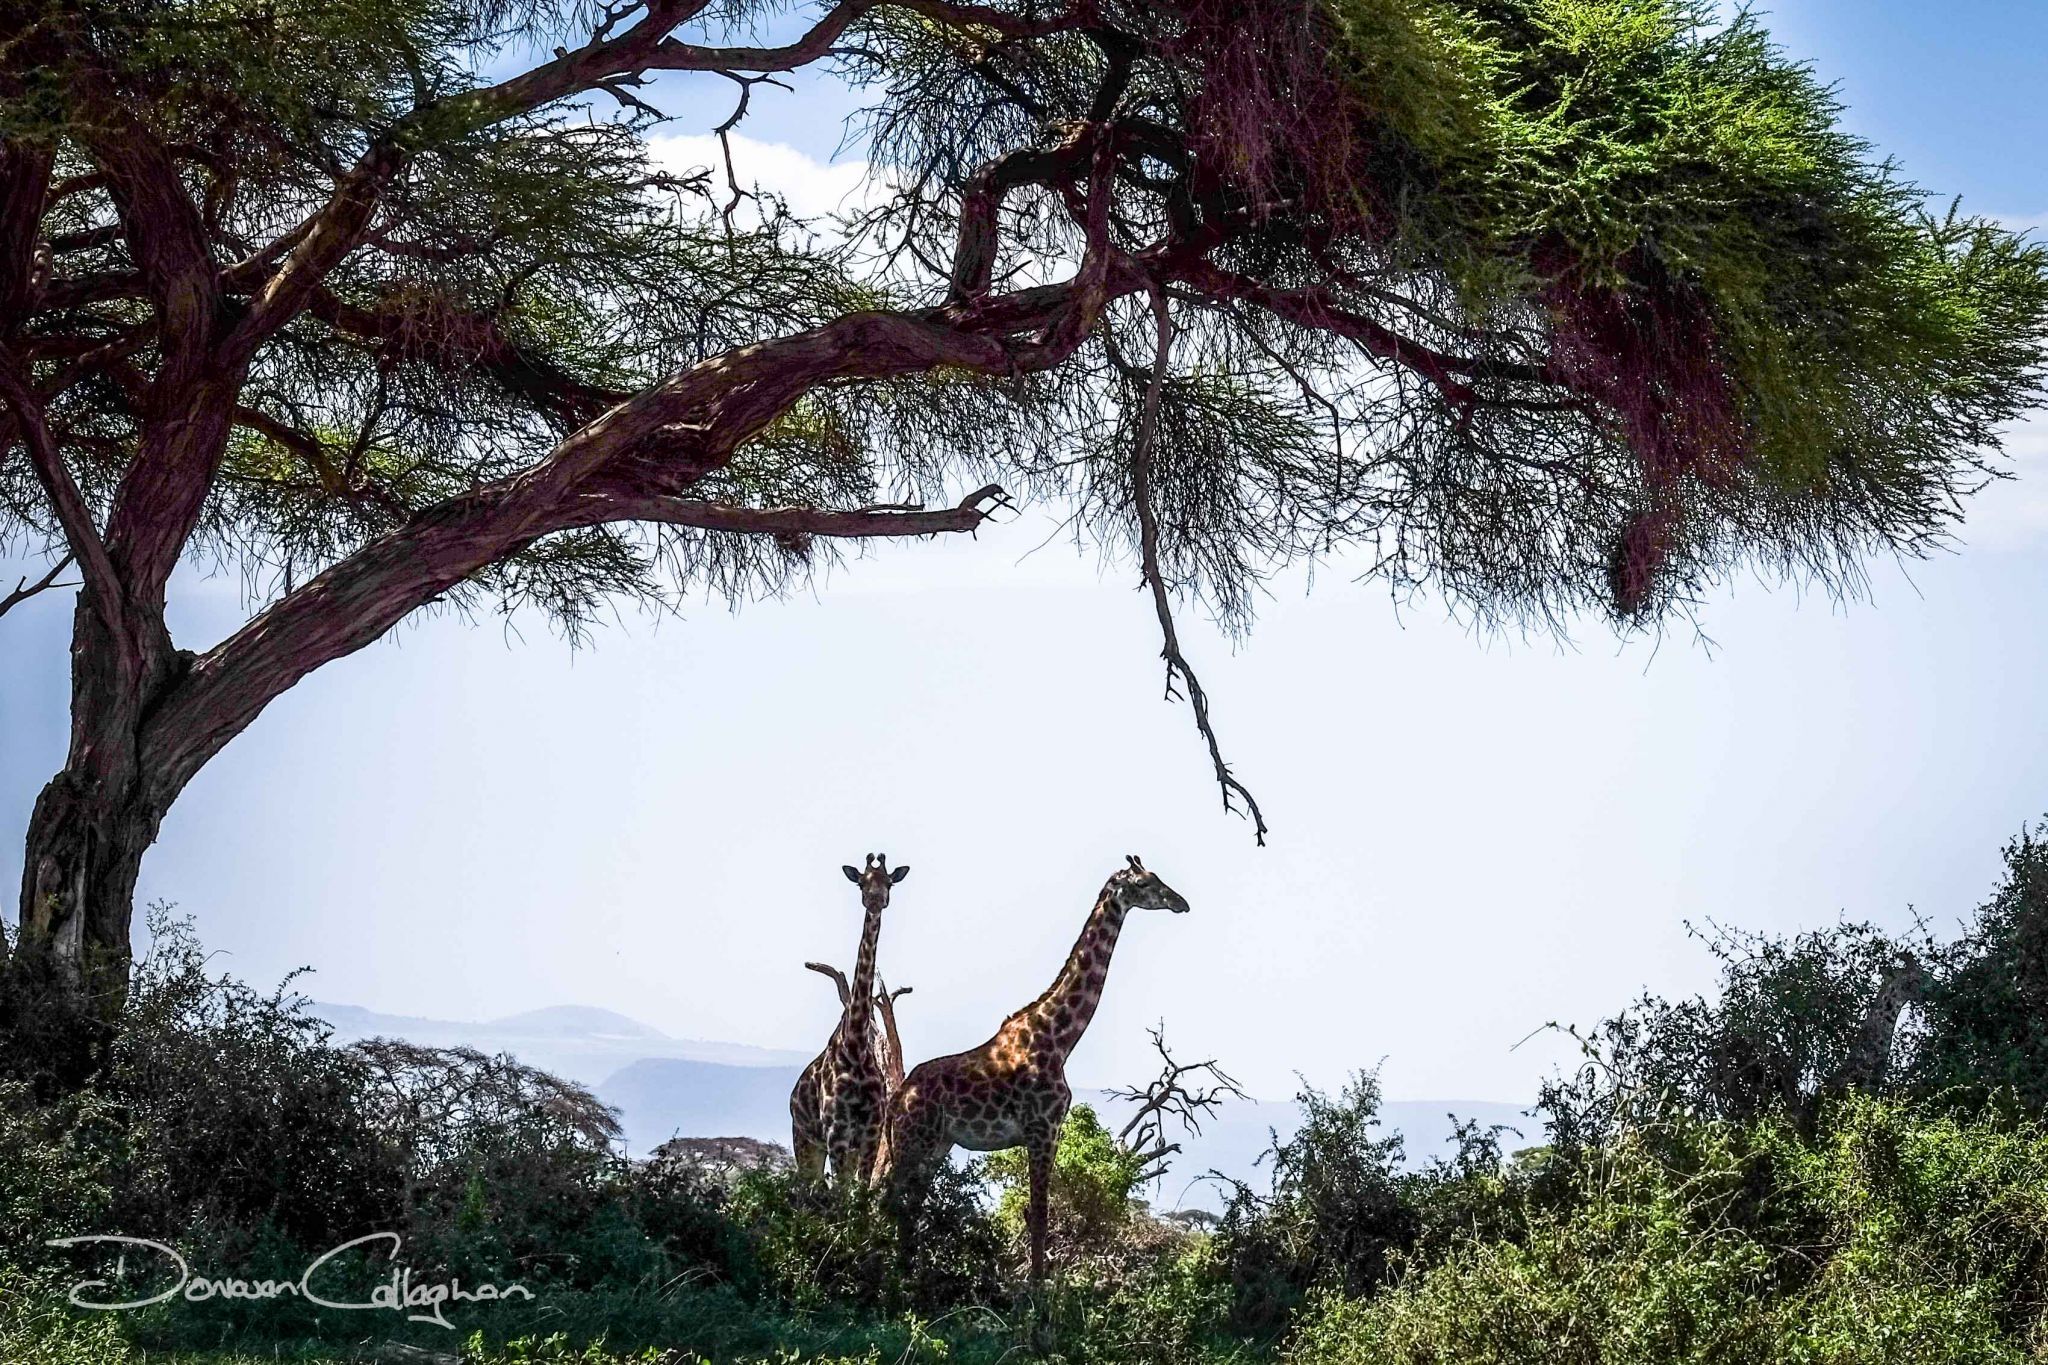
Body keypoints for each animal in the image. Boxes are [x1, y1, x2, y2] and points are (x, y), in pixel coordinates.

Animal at [789, 853, 908, 1186]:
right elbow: (842, 1193)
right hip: (805, 1142)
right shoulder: (837, 1134)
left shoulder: (870, 1133)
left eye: (889, 882)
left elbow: (860, 1194)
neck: (854, 1044)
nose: (875, 899)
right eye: (861, 883)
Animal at [882, 855, 1189, 1283]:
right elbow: (1040, 1215)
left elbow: (1038, 1213)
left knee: (908, 1207)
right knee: (891, 1202)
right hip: (914, 1140)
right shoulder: (1041, 1129)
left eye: (1158, 877)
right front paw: (1037, 1287)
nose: (1181, 903)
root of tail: (898, 1097)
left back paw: (907, 1271)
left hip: (936, 1144)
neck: (1060, 1037)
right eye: (1144, 883)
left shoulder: (1051, 1132)